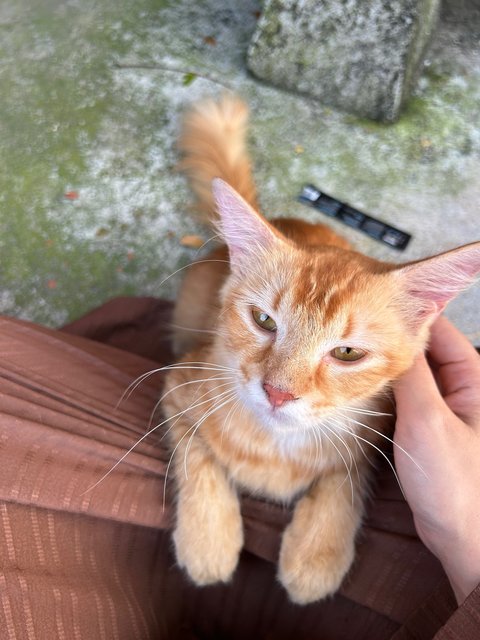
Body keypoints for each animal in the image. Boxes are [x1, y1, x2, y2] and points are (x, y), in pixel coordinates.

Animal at [162, 95, 480, 604]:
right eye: (264, 321)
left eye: (347, 354)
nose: (277, 393)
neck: (276, 447)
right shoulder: (178, 383)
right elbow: (198, 457)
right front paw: (207, 539)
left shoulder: (377, 429)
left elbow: (345, 478)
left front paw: (318, 552)